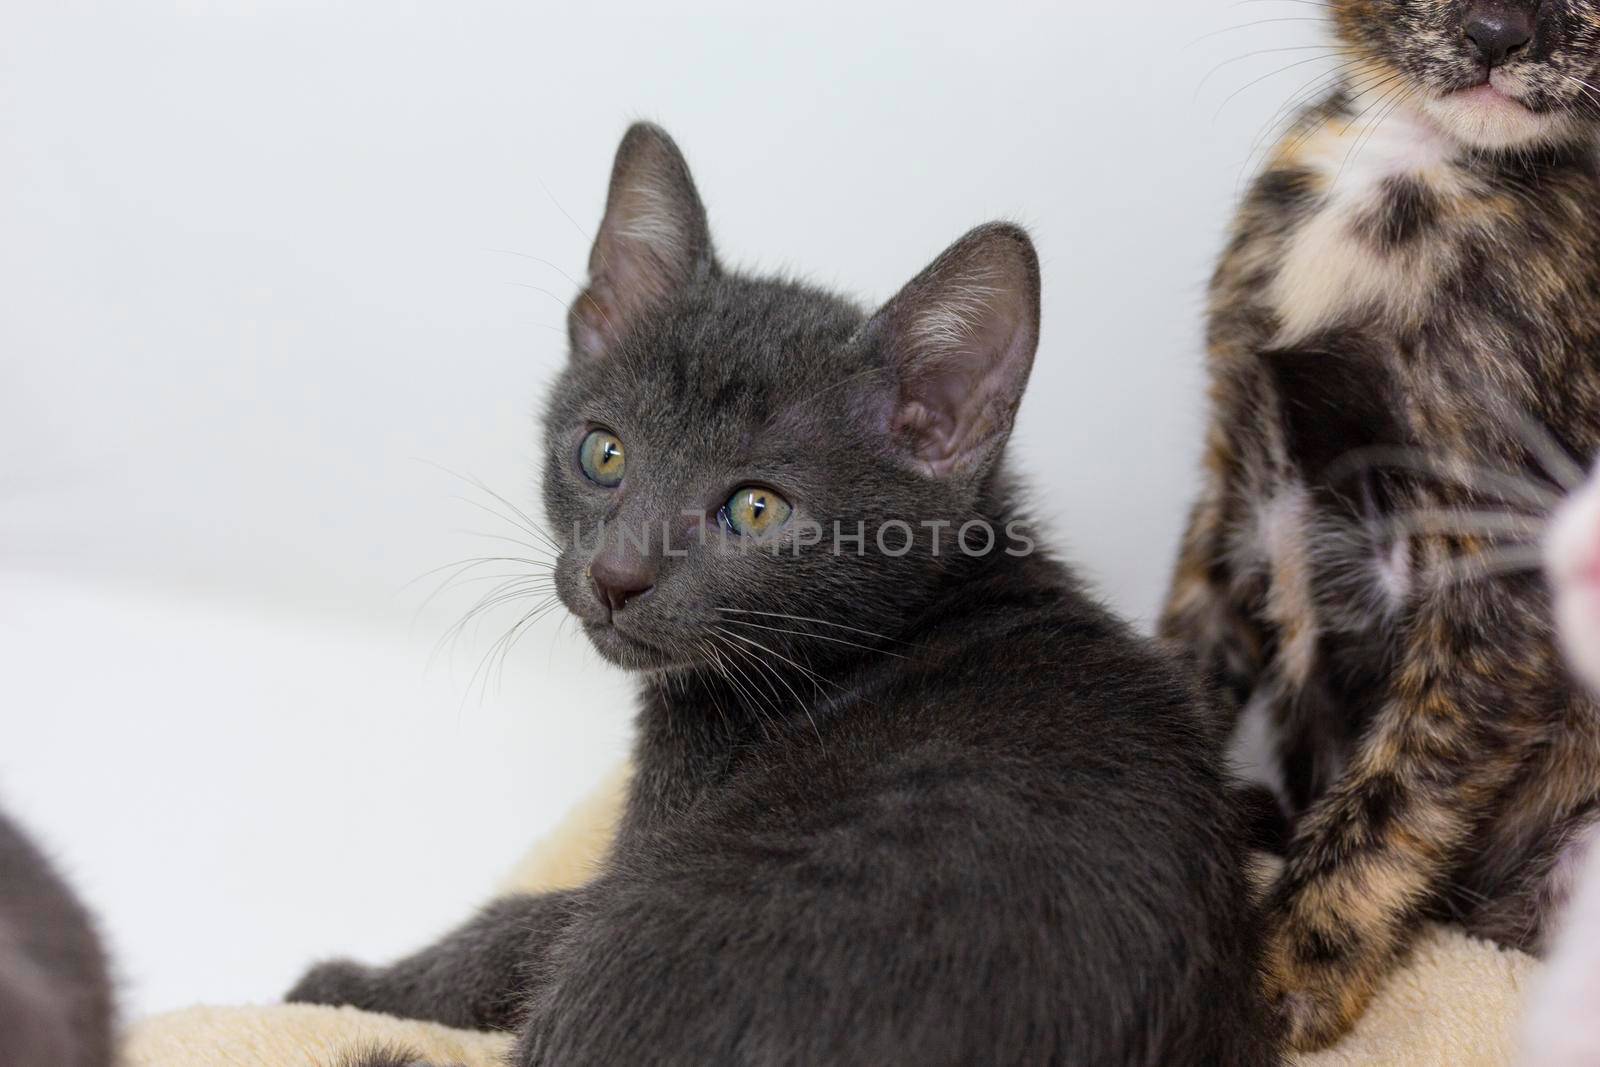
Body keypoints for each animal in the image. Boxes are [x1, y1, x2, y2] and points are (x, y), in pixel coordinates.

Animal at [294, 127, 1280, 1067]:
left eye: (757, 508)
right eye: (602, 453)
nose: (615, 575)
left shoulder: (634, 860)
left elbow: (520, 925)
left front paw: (340, 982)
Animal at [1158, 0, 1600, 1049]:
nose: (1499, 32)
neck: (1413, 167)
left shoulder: (1503, 560)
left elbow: (1398, 787)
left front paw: (1288, 964)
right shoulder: (1233, 483)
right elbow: (1186, 659)